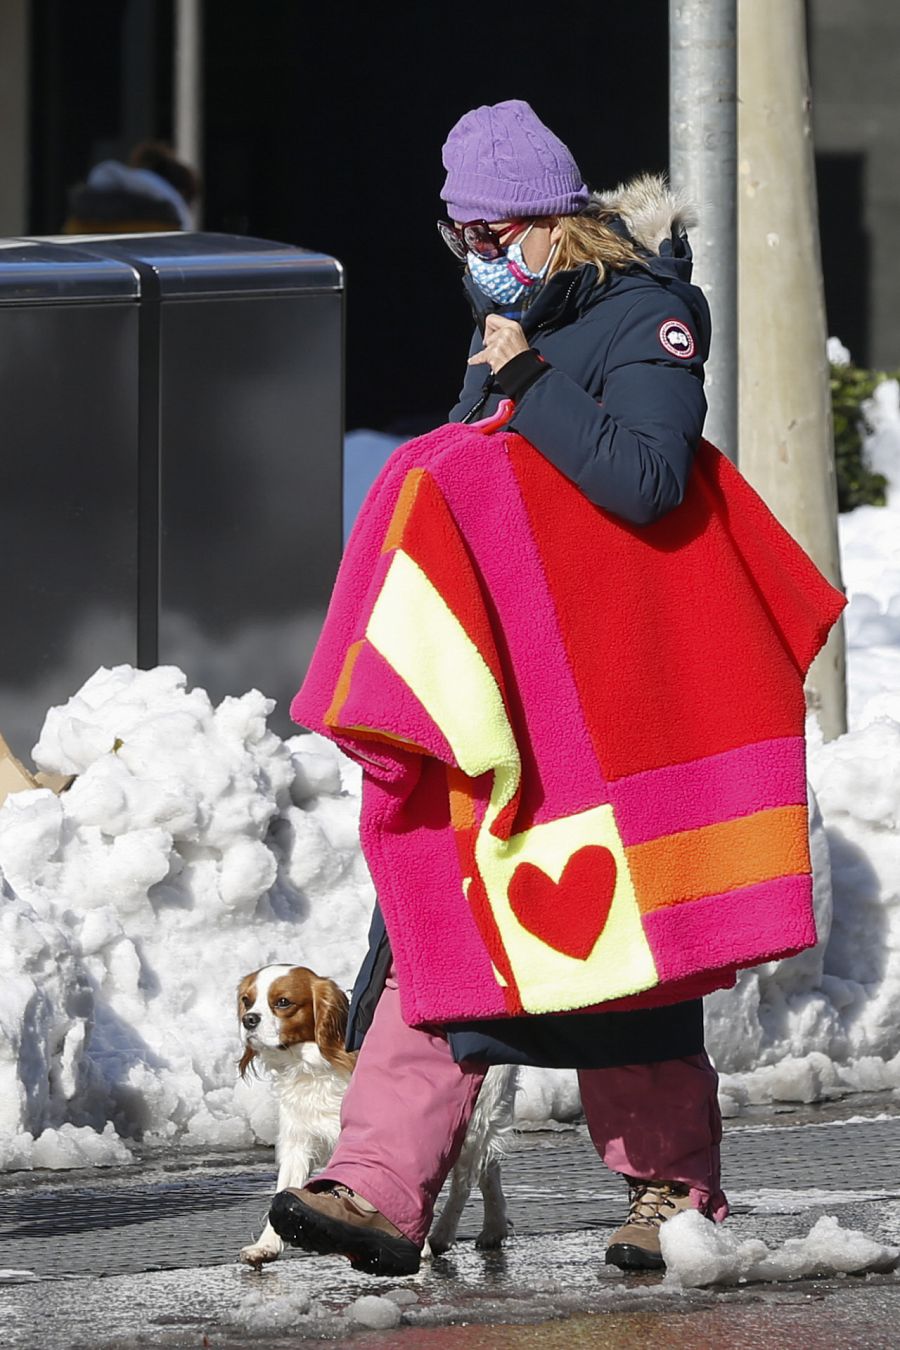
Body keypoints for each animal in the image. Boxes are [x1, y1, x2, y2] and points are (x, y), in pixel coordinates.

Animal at [236, 961, 512, 1263]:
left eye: (283, 1002)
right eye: (247, 1001)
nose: (248, 1020)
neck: (316, 1066)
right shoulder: (298, 1138)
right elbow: (286, 1184)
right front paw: (267, 1245)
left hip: (473, 1122)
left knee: (464, 1182)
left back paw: (443, 1234)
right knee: (490, 1168)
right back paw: (493, 1228)